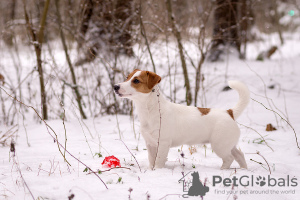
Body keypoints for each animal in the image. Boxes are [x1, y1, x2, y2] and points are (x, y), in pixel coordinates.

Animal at [113, 69, 250, 170]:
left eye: (136, 80)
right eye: (127, 77)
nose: (115, 86)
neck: (149, 110)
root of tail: (229, 112)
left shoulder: (163, 143)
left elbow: (158, 161)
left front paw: (157, 171)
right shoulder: (150, 144)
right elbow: (152, 160)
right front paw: (151, 171)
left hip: (219, 145)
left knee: (229, 158)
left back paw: (223, 170)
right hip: (228, 144)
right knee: (239, 155)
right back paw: (243, 169)